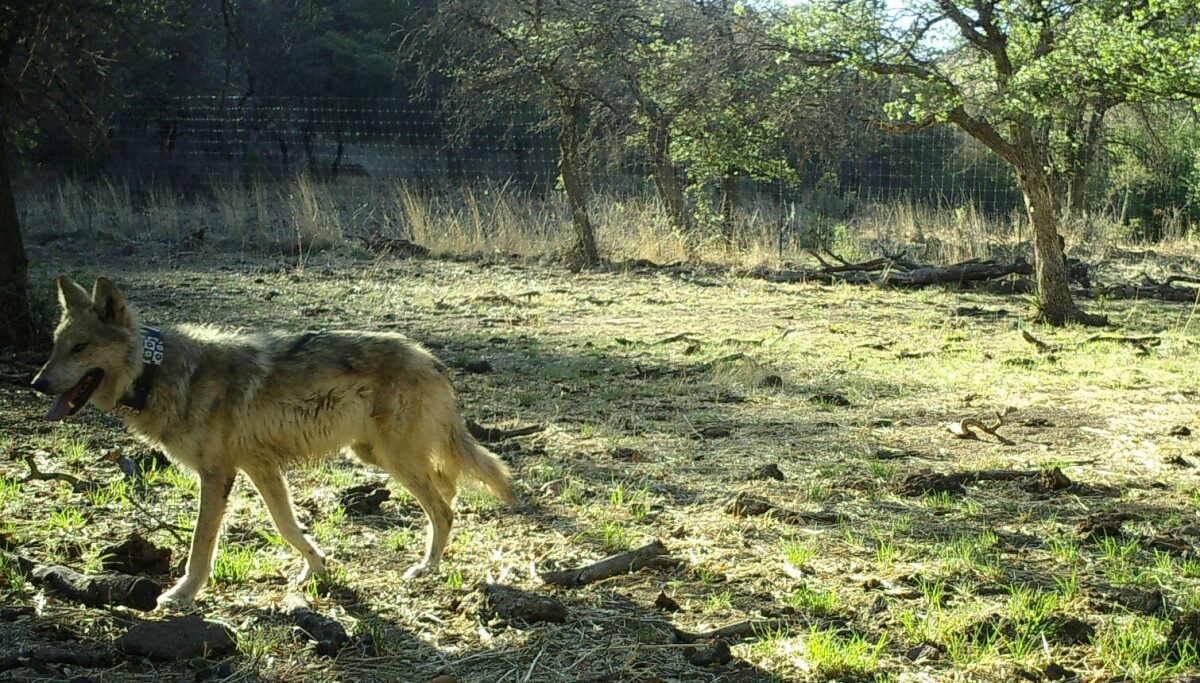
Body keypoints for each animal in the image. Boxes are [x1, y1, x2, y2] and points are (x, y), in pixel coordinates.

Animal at [31, 275, 514, 609]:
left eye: (80, 348)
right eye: (55, 346)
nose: (36, 383)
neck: (158, 375)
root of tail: (430, 357)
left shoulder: (217, 475)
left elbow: (199, 547)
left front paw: (182, 594)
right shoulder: (260, 468)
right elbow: (288, 526)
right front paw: (314, 570)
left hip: (392, 458)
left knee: (444, 507)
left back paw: (426, 567)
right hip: (376, 455)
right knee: (447, 485)